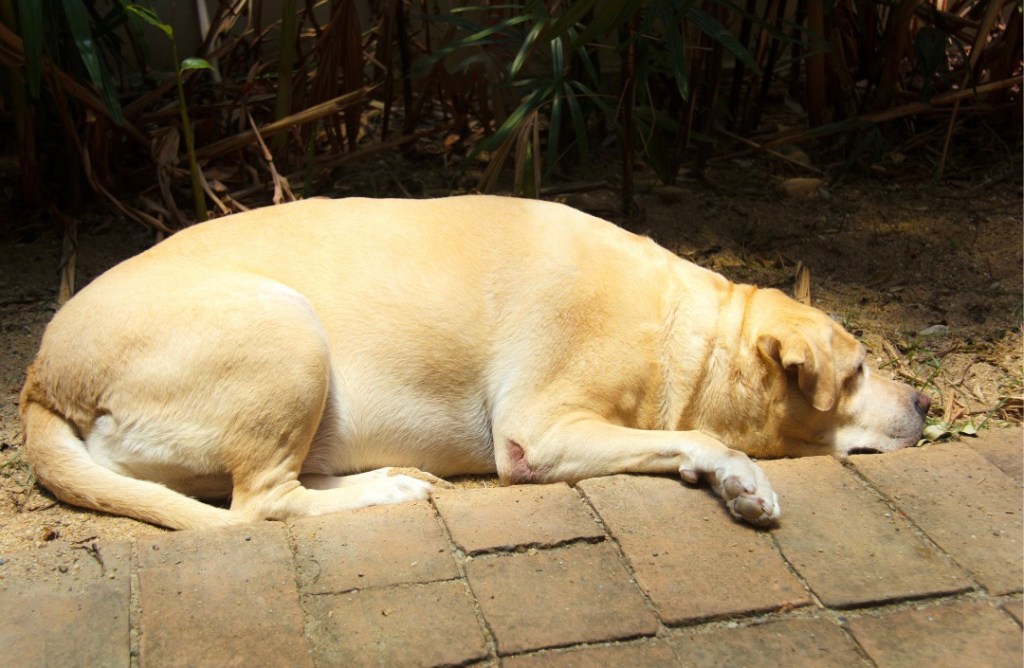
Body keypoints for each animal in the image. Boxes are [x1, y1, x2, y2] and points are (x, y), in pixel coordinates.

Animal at [19, 196, 930, 530]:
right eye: (854, 374)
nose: (925, 404)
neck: (687, 331)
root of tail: (38, 377)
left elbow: (683, 441)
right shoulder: (540, 433)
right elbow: (701, 439)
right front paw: (741, 474)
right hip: (287, 330)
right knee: (262, 505)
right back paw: (386, 491)